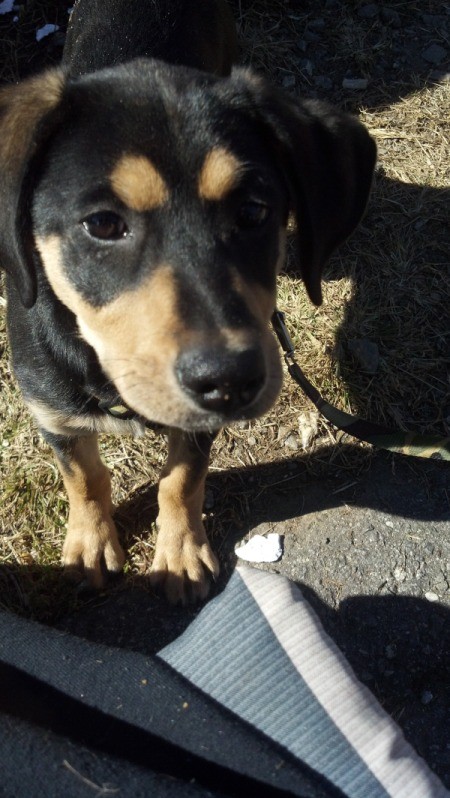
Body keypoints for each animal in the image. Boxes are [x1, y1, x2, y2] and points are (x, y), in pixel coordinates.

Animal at [0, 0, 376, 600]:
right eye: (102, 224)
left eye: (253, 211)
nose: (231, 382)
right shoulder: (51, 408)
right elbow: (83, 476)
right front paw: (90, 543)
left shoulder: (198, 426)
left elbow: (180, 479)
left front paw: (178, 553)